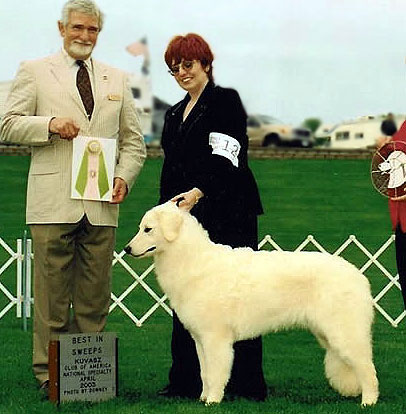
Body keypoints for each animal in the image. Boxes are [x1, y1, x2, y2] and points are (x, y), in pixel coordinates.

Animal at [125, 202, 380, 406]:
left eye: (148, 229)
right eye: (140, 228)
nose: (127, 249)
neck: (193, 261)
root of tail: (358, 276)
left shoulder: (216, 339)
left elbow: (216, 374)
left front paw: (213, 402)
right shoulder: (200, 339)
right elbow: (204, 373)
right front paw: (203, 399)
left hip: (344, 335)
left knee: (368, 369)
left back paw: (368, 402)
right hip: (328, 334)